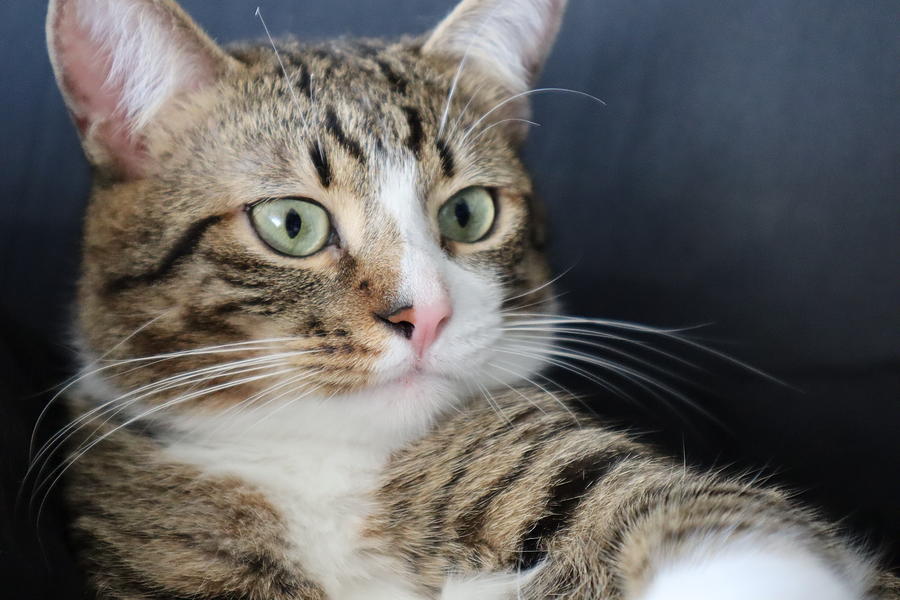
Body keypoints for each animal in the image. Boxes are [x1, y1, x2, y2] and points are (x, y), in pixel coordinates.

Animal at [40, 0, 900, 596]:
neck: (325, 466)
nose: (427, 315)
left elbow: (712, 520)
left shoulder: (565, 465)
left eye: (468, 214)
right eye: (291, 224)